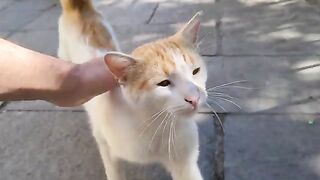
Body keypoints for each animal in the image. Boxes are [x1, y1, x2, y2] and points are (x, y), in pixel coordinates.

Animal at [57, 0, 208, 179]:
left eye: (196, 71)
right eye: (164, 83)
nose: (194, 98)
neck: (154, 124)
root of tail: (77, 8)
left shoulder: (184, 162)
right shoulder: (105, 144)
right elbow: (114, 172)